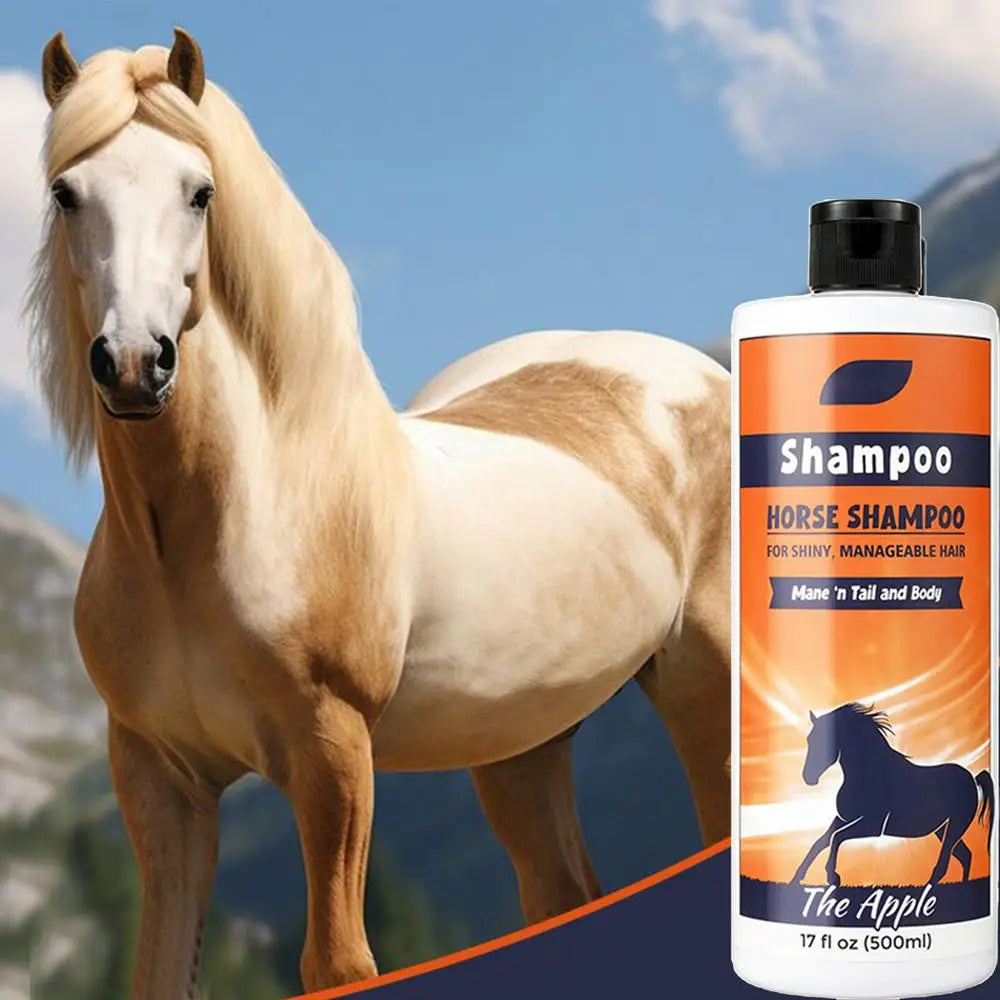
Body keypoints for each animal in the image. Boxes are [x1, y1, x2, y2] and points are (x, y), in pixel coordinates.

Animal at [29, 31, 731, 997]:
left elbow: (339, 959)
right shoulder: (159, 776)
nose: (135, 364)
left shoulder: (332, 753)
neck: (219, 529)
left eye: (200, 191)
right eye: (67, 192)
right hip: (521, 743)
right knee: (564, 891)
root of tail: (699, 371)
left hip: (706, 682)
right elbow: (160, 970)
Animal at [792, 703, 995, 888]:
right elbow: (820, 842)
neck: (869, 774)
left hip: (955, 826)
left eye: (824, 739)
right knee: (965, 856)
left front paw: (832, 877)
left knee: (944, 865)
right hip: (942, 829)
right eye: (809, 739)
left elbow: (836, 838)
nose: (808, 777)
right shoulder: (843, 818)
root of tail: (972, 778)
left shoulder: (873, 825)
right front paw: (797, 878)